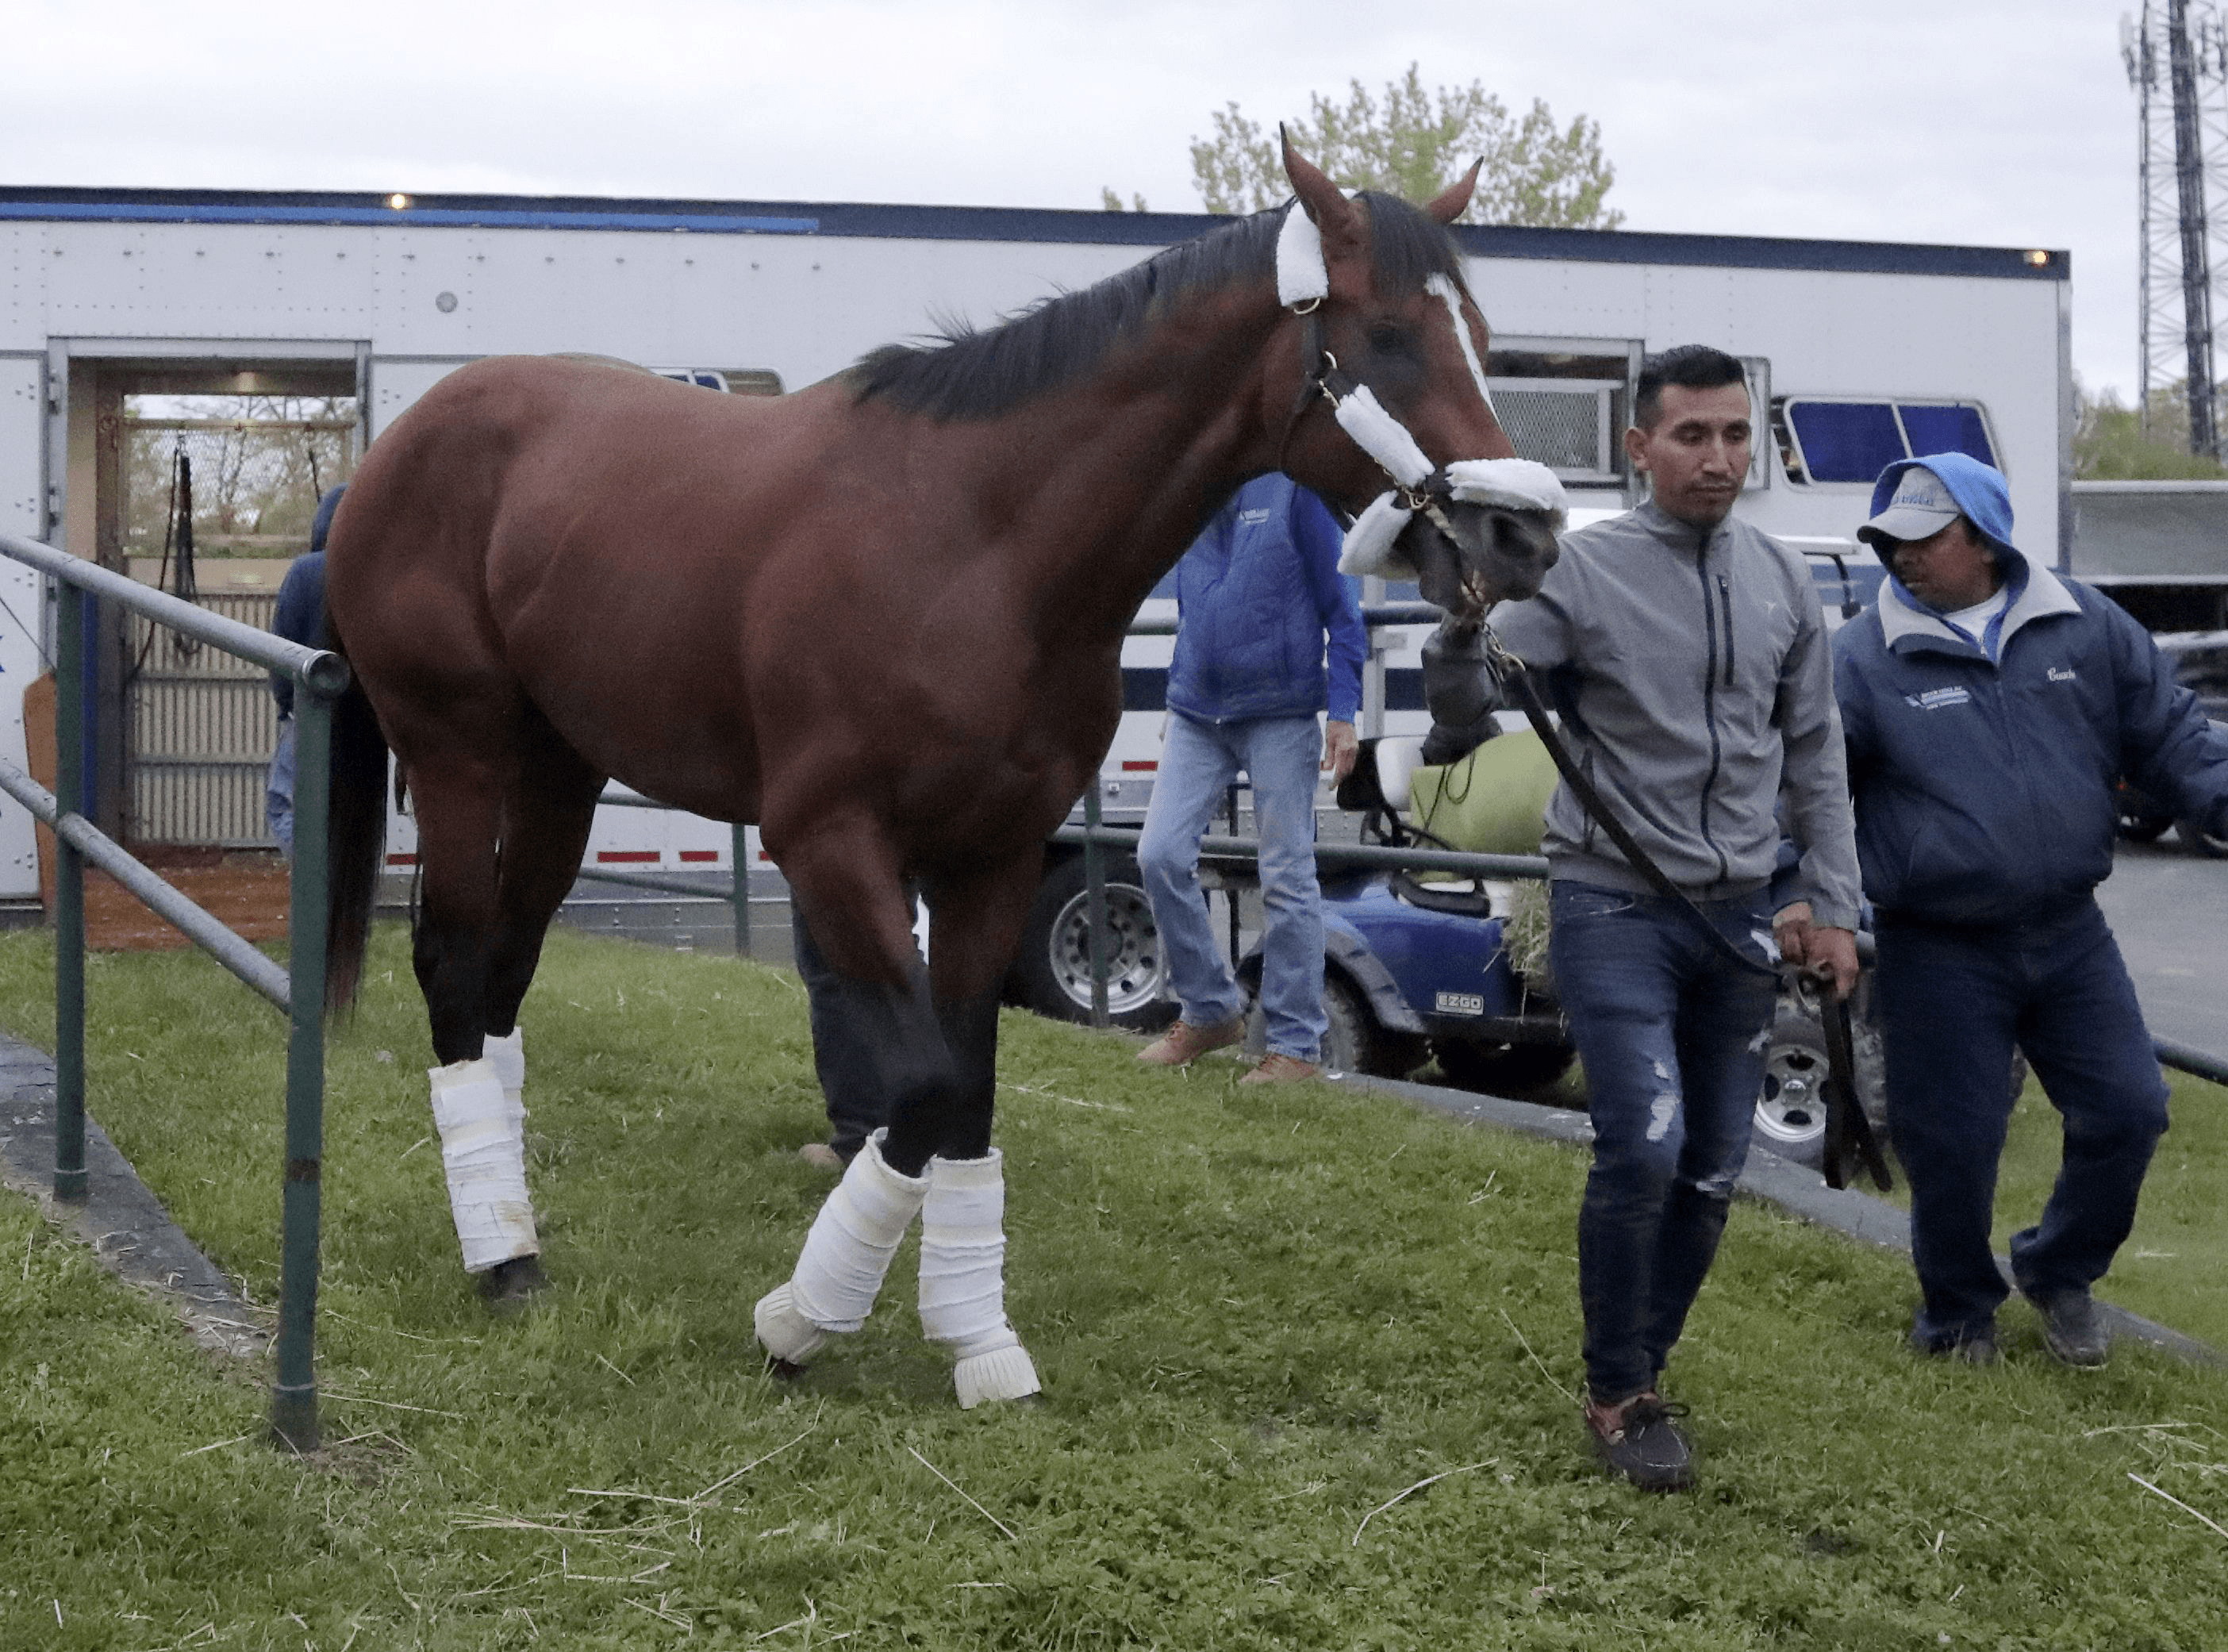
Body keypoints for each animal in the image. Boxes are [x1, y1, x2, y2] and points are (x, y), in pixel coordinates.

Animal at [323, 141, 1568, 1408]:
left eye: (1479, 333)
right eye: (1390, 336)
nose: (1526, 538)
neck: (979, 543)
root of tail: (406, 440)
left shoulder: (993, 854)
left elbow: (964, 1089)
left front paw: (975, 1337)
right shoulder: (828, 841)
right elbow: (922, 1083)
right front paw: (802, 1319)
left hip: (561, 777)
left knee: (503, 979)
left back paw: (517, 1229)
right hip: (460, 753)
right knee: (452, 967)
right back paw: (502, 1258)